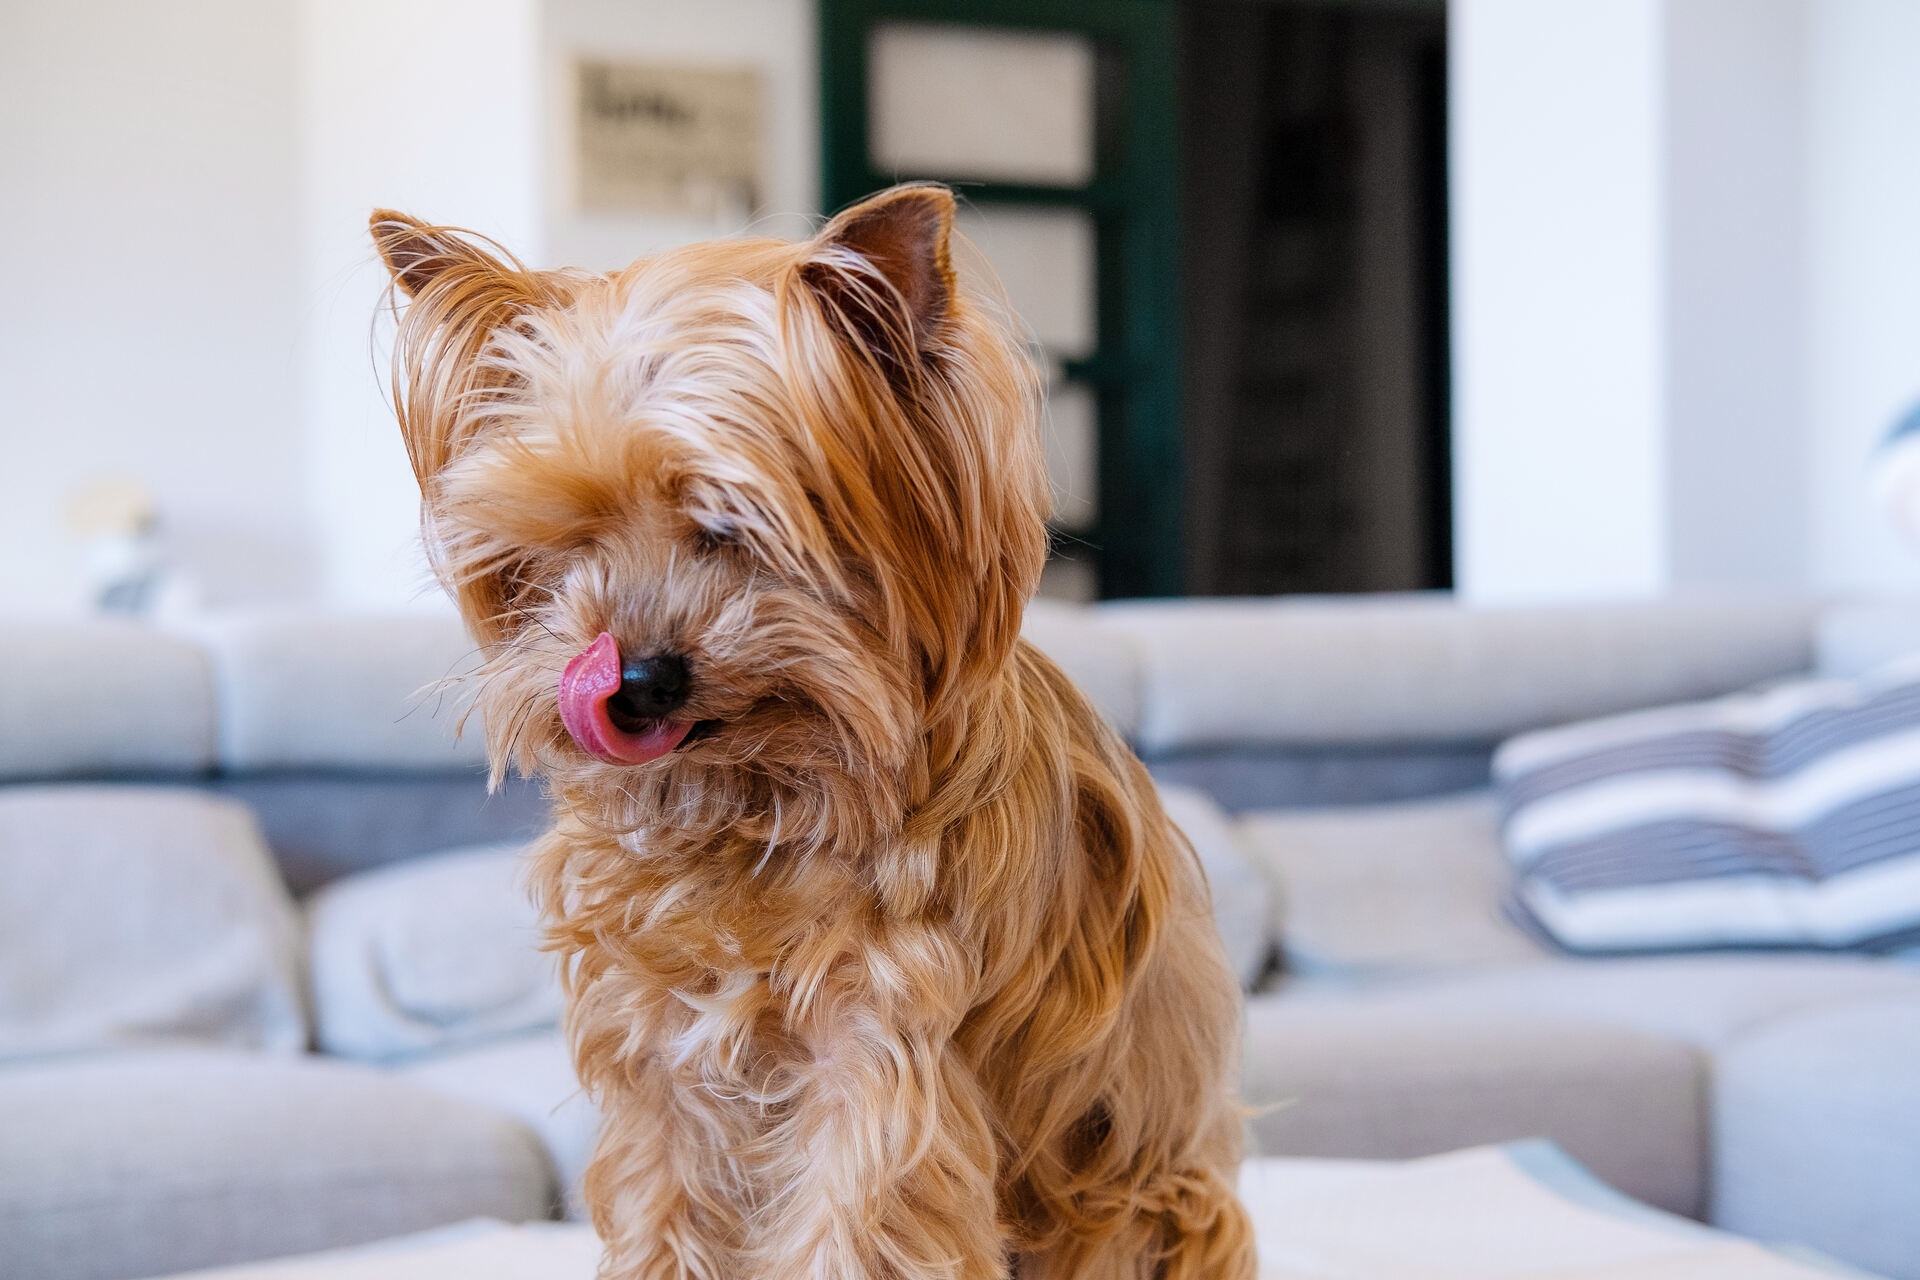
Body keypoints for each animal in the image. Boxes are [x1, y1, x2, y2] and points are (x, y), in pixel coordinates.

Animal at [370, 182, 1259, 1280]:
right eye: (566, 545)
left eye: (728, 529)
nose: (632, 683)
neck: (756, 798)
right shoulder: (659, 1058)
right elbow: (664, 1212)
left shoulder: (876, 1057)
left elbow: (857, 1224)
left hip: (1144, 1203)